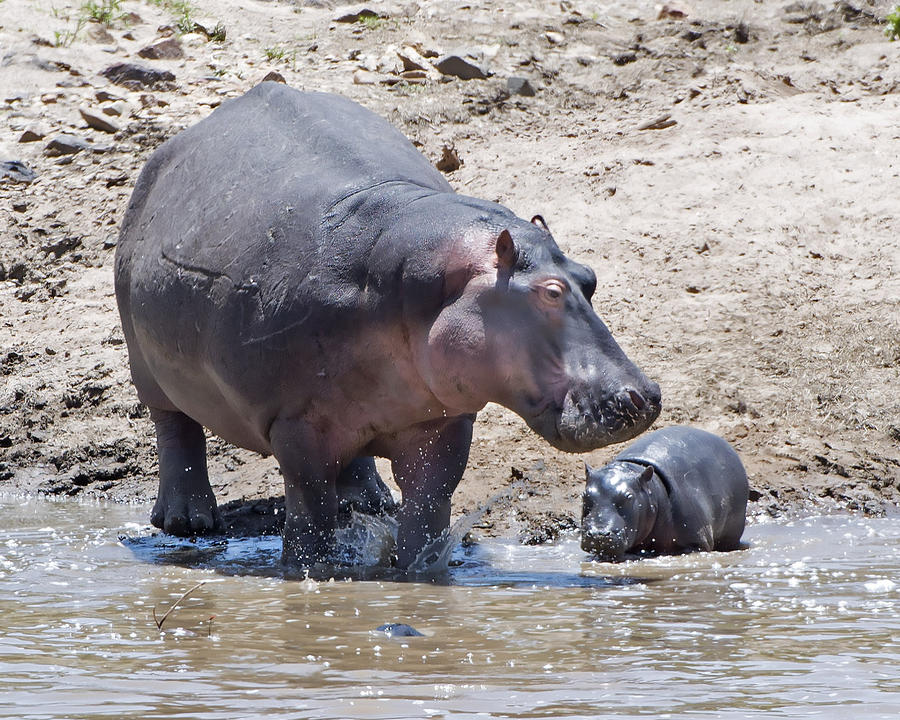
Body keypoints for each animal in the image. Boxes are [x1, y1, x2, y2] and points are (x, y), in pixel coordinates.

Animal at [114, 83, 660, 568]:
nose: (645, 396)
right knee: (175, 428)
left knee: (354, 456)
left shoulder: (444, 423)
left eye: (589, 276)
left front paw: (421, 570)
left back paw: (368, 501)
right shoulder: (294, 425)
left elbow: (429, 508)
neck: (410, 282)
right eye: (550, 292)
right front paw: (311, 570)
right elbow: (309, 512)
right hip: (146, 364)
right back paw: (186, 520)